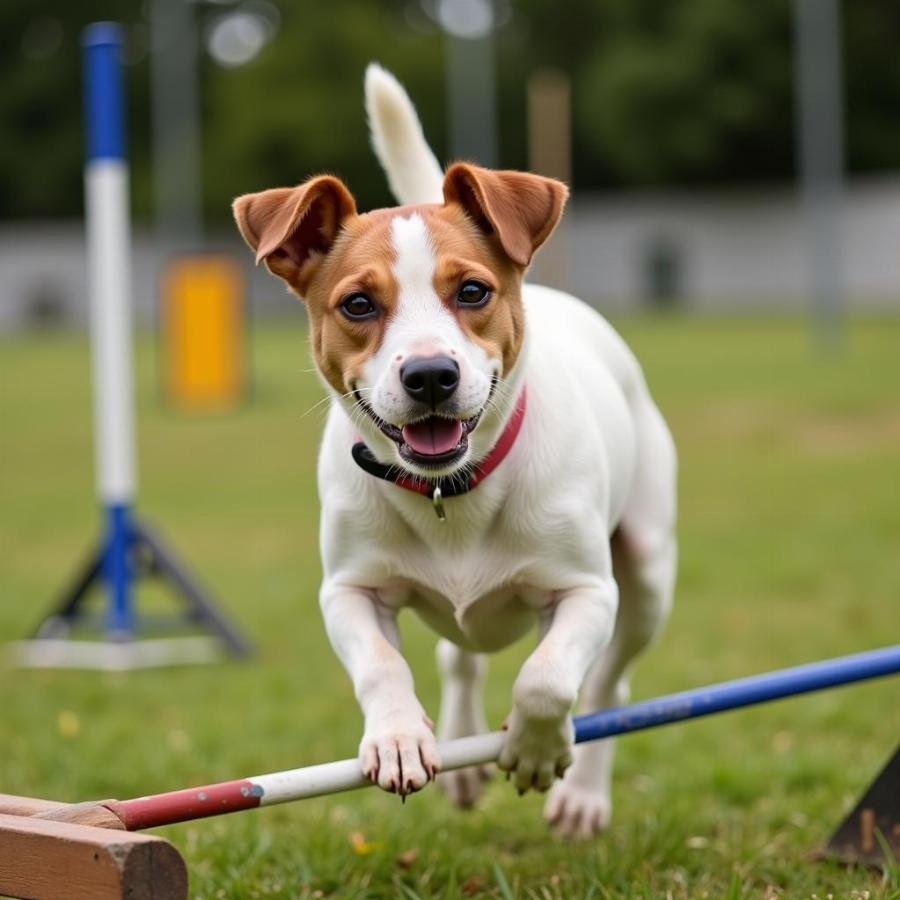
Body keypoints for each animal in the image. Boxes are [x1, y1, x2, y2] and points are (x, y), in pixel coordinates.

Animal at [232, 63, 676, 836]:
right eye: (357, 305)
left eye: (472, 291)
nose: (431, 374)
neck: (451, 491)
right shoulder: (348, 589)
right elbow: (382, 665)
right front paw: (399, 738)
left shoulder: (588, 590)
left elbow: (548, 679)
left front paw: (535, 749)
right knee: (457, 655)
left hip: (647, 569)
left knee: (609, 687)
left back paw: (584, 796)